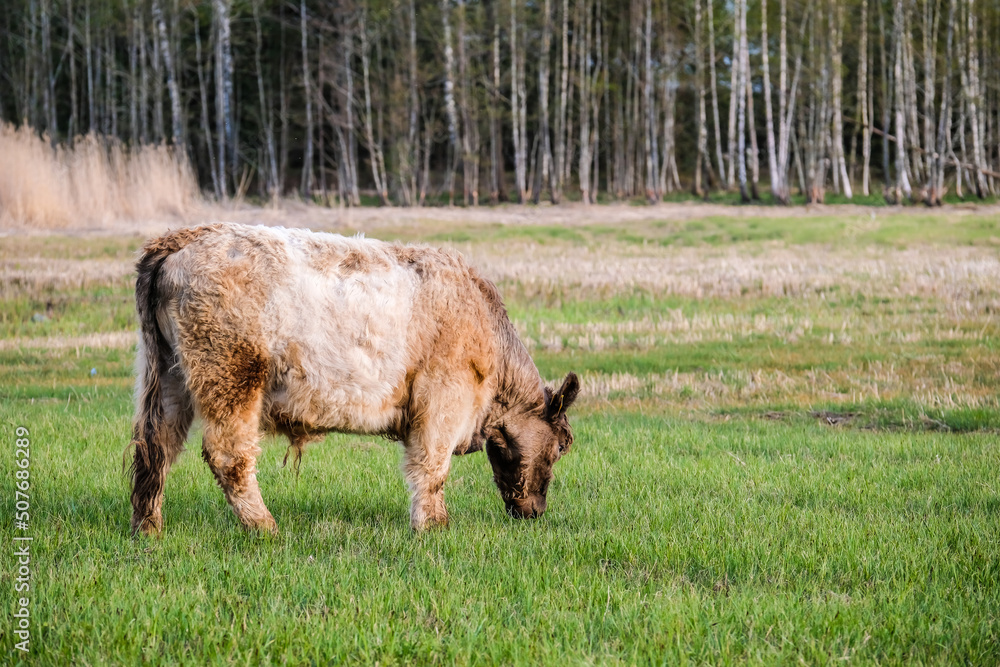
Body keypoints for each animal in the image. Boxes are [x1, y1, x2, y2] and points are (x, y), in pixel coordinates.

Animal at [127, 223, 580, 535]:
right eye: (560, 448)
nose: (536, 512)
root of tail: (183, 238)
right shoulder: (443, 401)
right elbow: (432, 467)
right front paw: (434, 527)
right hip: (232, 378)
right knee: (229, 455)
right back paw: (265, 528)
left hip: (168, 379)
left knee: (155, 447)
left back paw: (148, 529)